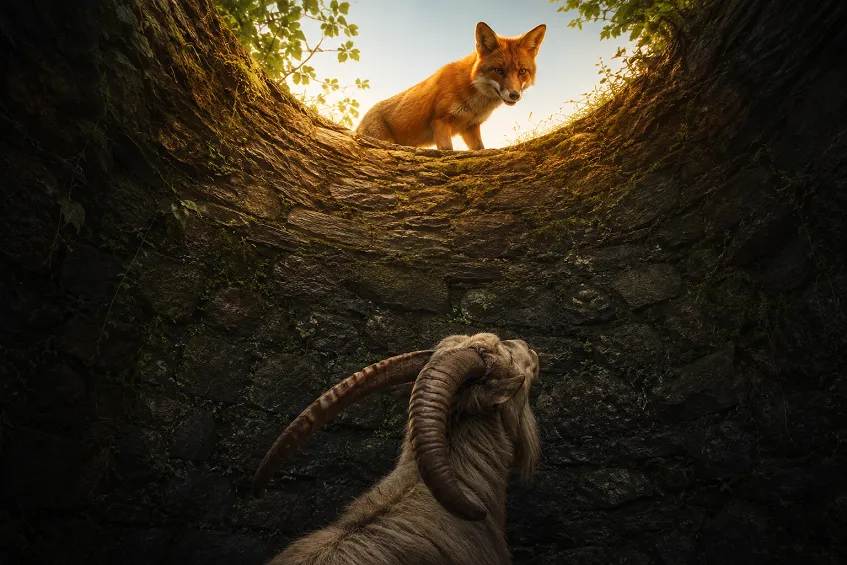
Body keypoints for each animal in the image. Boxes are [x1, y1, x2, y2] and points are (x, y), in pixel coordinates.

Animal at [355, 21, 546, 151]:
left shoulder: (470, 127)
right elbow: (448, 150)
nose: (514, 95)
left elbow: (480, 149)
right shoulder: (440, 120)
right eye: (498, 70)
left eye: (522, 71)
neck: (475, 102)